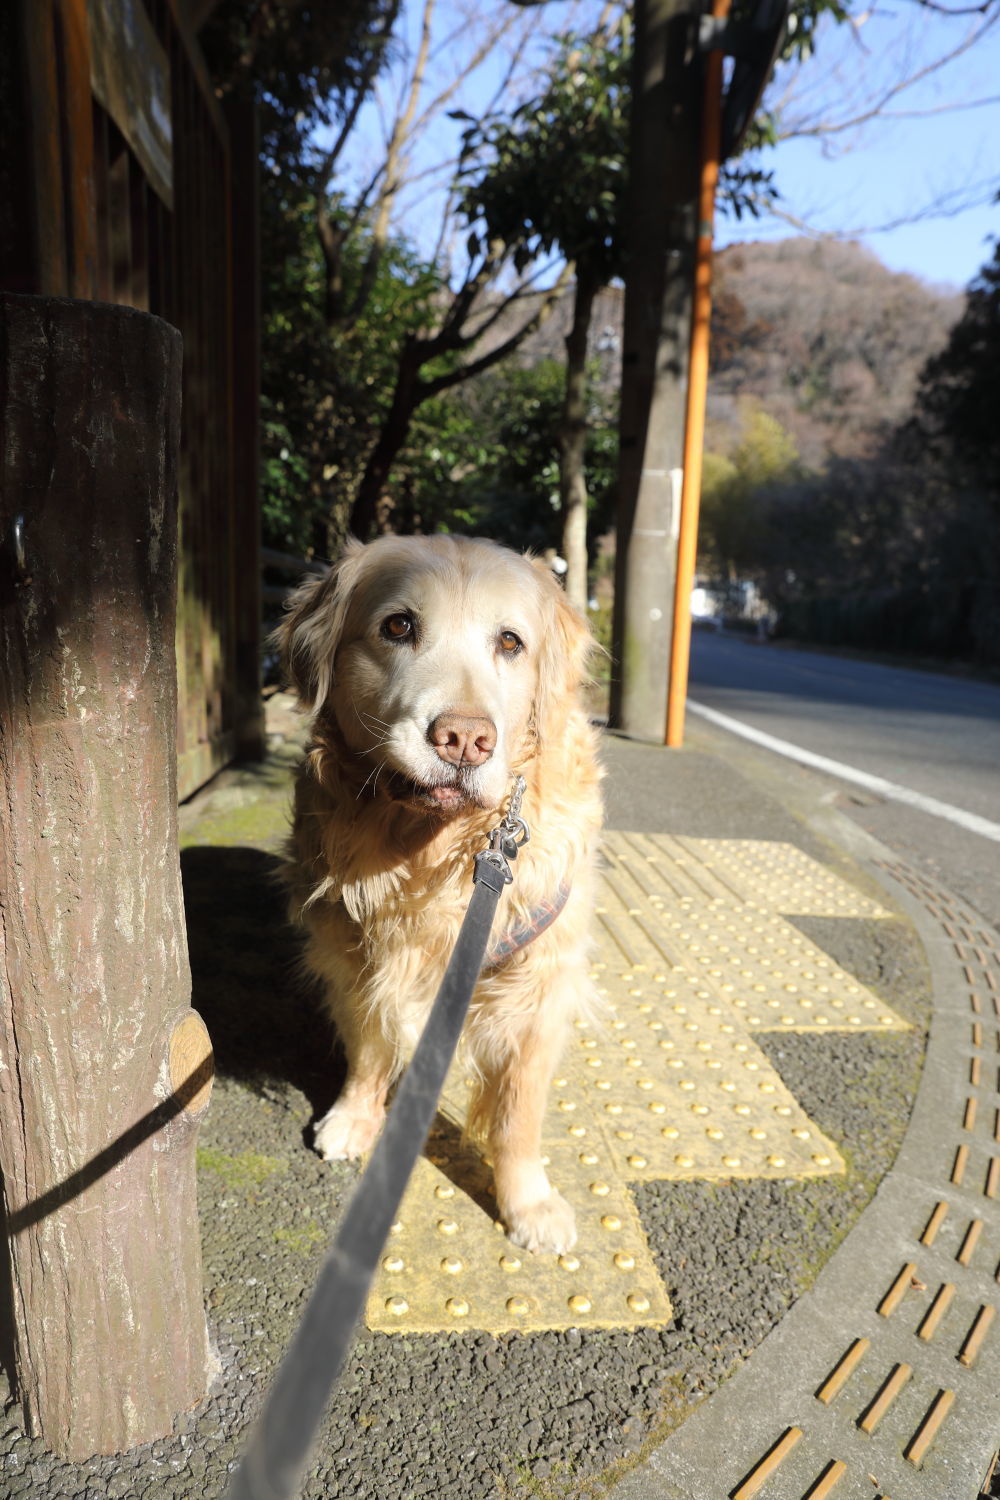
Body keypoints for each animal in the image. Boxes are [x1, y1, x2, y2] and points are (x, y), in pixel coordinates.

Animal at [274, 534, 602, 1260]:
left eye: (510, 642)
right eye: (398, 626)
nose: (464, 738)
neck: (436, 850)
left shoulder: (537, 988)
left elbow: (517, 1114)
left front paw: (528, 1203)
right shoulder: (356, 956)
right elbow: (369, 1049)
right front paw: (354, 1117)